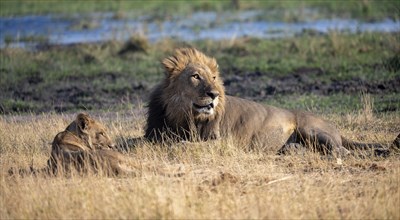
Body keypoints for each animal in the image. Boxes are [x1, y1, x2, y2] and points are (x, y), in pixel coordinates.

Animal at [145, 48, 398, 156]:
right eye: (196, 76)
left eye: (214, 78)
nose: (214, 94)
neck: (182, 115)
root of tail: (334, 126)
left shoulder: (223, 142)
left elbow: (184, 145)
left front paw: (177, 145)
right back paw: (293, 150)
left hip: (311, 129)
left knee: (341, 151)